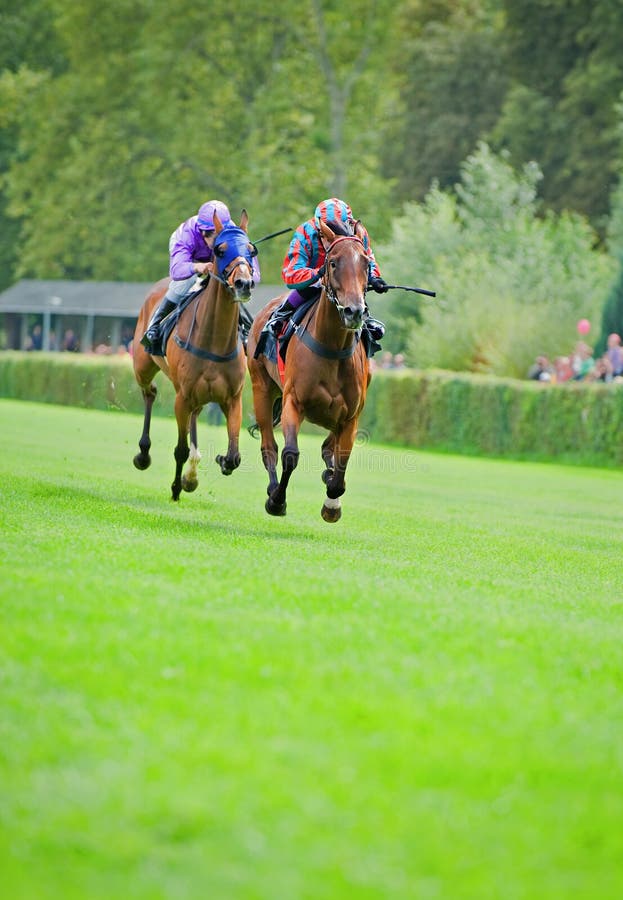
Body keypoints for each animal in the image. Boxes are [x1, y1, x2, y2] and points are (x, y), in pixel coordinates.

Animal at [133, 213, 258, 506]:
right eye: (220, 250)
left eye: (251, 249)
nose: (244, 283)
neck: (214, 339)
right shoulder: (183, 396)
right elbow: (178, 448)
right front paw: (175, 488)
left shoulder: (232, 398)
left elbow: (234, 456)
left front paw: (219, 461)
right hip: (143, 366)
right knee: (149, 392)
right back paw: (144, 454)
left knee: (194, 415)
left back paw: (192, 472)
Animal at [247, 219, 370, 524]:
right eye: (333, 263)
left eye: (365, 263)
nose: (354, 312)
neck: (332, 347)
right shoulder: (294, 402)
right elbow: (290, 454)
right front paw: (277, 501)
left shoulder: (350, 416)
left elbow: (341, 467)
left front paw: (332, 504)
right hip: (261, 387)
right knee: (269, 447)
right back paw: (272, 488)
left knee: (329, 449)